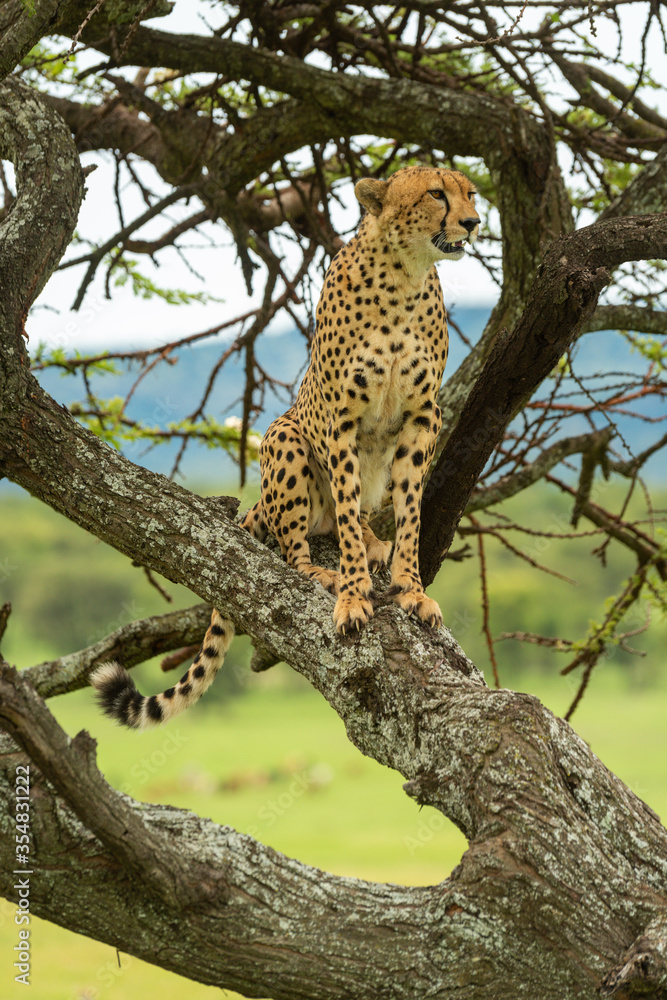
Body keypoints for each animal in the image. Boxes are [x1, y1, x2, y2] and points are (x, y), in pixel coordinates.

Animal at [92, 166, 480, 728]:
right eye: (436, 194)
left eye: (470, 193)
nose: (473, 222)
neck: (406, 276)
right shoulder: (339, 418)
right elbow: (346, 512)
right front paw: (354, 595)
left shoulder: (422, 418)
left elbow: (409, 513)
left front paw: (410, 589)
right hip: (286, 435)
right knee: (298, 543)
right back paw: (323, 569)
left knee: (352, 517)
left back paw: (373, 541)